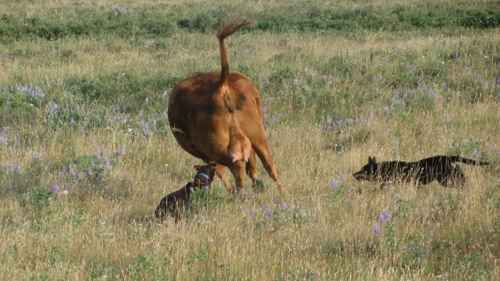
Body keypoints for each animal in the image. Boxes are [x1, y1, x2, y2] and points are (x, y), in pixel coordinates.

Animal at [167, 16, 288, 194]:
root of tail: (219, 85)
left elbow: (219, 170)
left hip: (217, 146)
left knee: (236, 168)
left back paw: (238, 193)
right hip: (257, 135)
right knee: (269, 165)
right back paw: (284, 194)